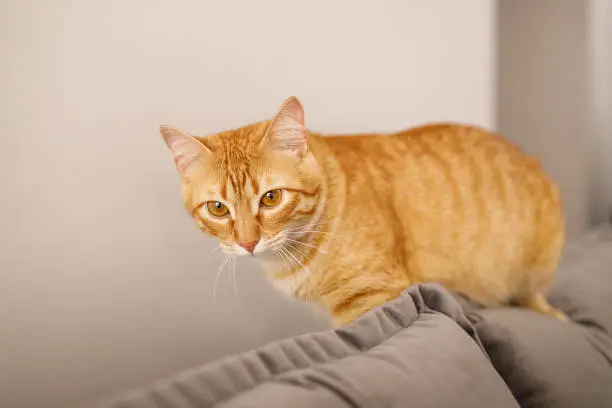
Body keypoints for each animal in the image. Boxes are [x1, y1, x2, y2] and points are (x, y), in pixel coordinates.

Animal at [160, 95, 568, 326]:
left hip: (534, 269)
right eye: (217, 208)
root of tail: (530, 158)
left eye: (271, 198)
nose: (248, 243)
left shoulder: (372, 300)